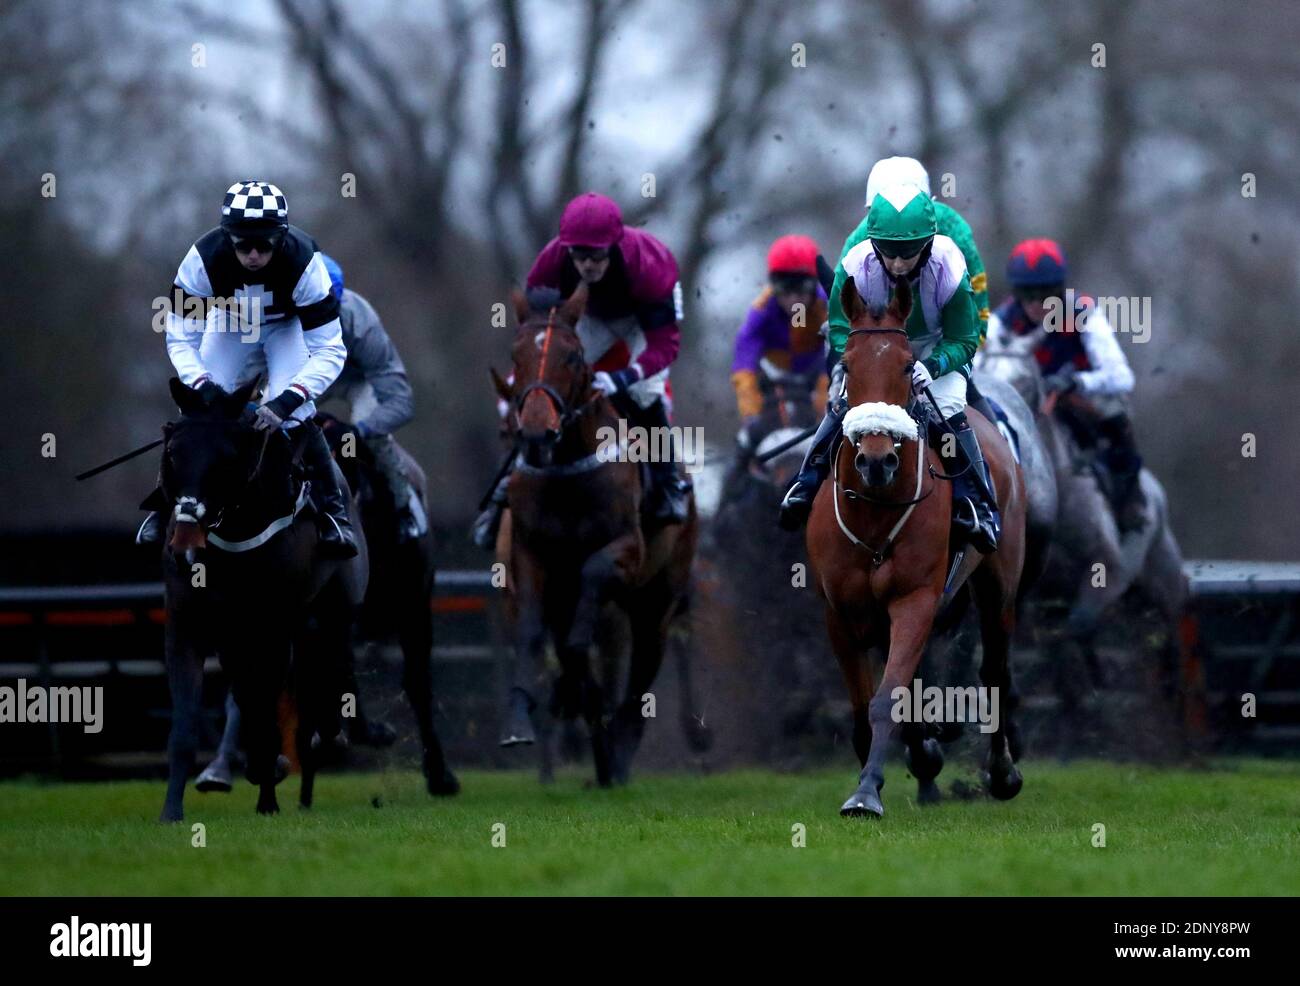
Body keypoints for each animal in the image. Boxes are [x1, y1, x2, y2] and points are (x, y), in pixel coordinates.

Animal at [156, 374, 366, 822]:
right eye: (174, 453)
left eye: (227, 456)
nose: (185, 544)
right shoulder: (187, 625)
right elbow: (186, 724)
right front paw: (171, 812)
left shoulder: (272, 626)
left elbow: (267, 709)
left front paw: (268, 794)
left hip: (334, 612)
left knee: (328, 669)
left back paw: (323, 743)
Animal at [488, 283, 696, 785]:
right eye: (516, 353)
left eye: (572, 356)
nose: (536, 434)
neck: (568, 473)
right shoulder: (530, 556)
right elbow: (534, 635)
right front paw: (522, 720)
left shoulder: (626, 552)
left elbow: (589, 601)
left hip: (657, 600)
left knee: (641, 670)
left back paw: (617, 750)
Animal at [806, 278, 1029, 816]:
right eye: (848, 364)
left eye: (909, 366)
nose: (876, 460)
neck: (875, 510)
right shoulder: (838, 610)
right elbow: (863, 704)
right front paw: (893, 766)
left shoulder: (915, 599)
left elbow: (887, 698)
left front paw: (867, 792)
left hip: (999, 583)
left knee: (996, 669)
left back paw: (1001, 772)